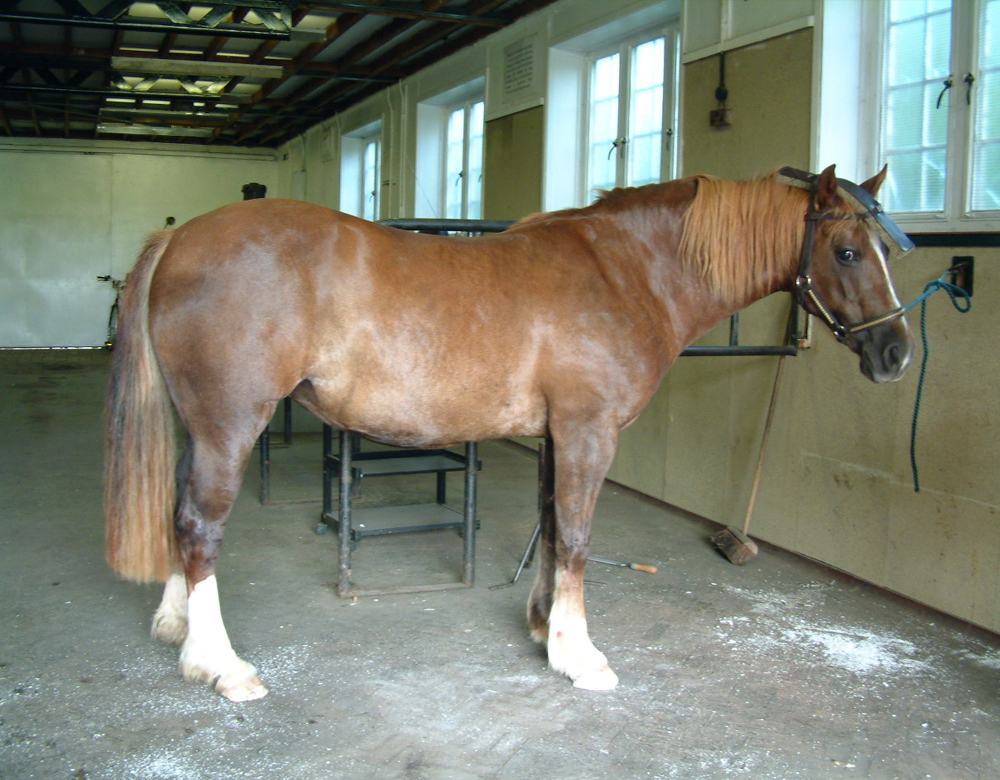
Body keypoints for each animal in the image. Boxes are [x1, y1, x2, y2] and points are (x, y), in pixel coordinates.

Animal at [104, 165, 913, 701]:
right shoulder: (590, 432)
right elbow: (579, 537)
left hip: (199, 427)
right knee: (201, 526)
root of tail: (181, 242)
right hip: (231, 424)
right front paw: (580, 656)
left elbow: (553, 528)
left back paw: (177, 626)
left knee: (179, 515)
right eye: (847, 251)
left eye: (883, 250)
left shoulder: (559, 435)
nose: (896, 353)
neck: (626, 272)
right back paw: (221, 665)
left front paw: (543, 628)